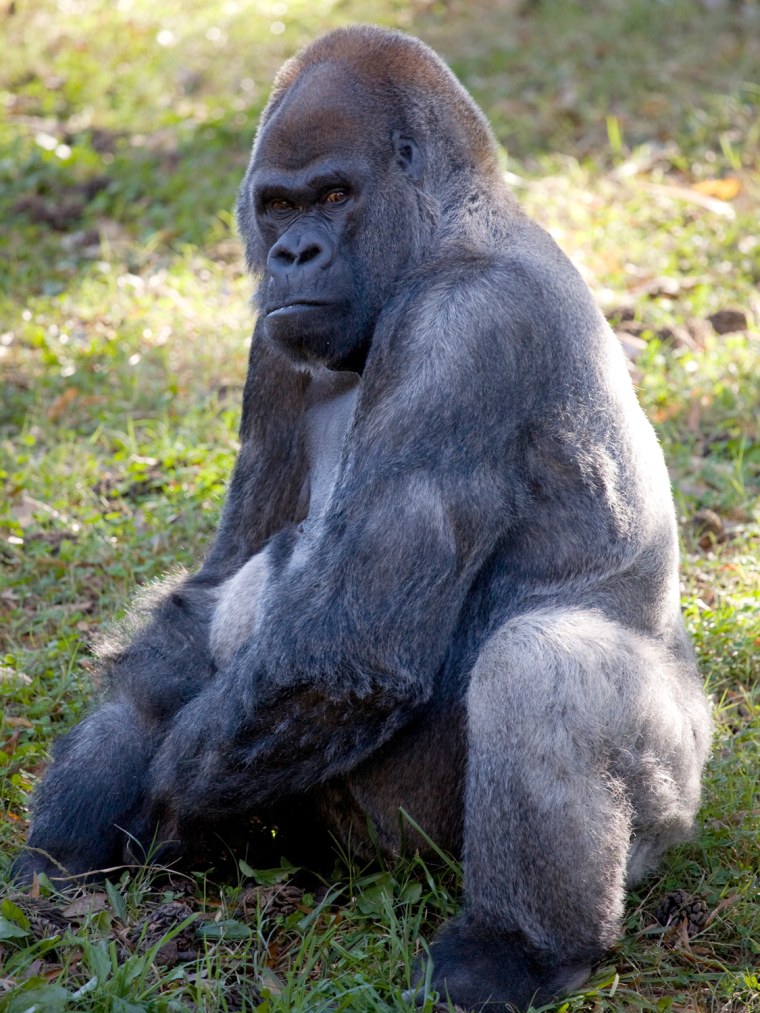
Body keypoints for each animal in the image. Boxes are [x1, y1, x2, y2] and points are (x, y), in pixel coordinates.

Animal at [13, 23, 713, 1013]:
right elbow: (210, 593)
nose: (294, 256)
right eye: (277, 206)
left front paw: (161, 806)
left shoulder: (465, 329)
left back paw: (520, 949)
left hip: (666, 799)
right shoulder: (273, 341)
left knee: (545, 658)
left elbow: (346, 649)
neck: (447, 229)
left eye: (336, 196)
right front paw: (86, 800)